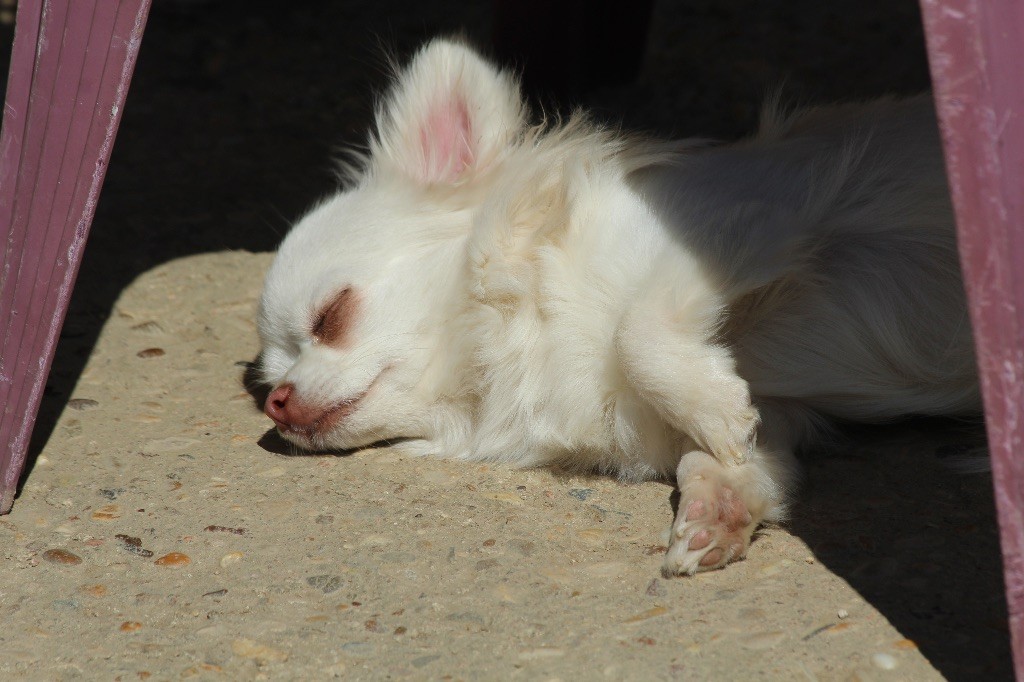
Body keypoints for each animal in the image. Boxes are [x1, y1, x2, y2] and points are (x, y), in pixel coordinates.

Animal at [253, 38, 974, 573]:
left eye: (330, 317)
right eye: (268, 378)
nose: (277, 403)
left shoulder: (748, 218)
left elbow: (639, 328)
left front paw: (712, 409)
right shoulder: (781, 411)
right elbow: (734, 456)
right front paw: (716, 505)